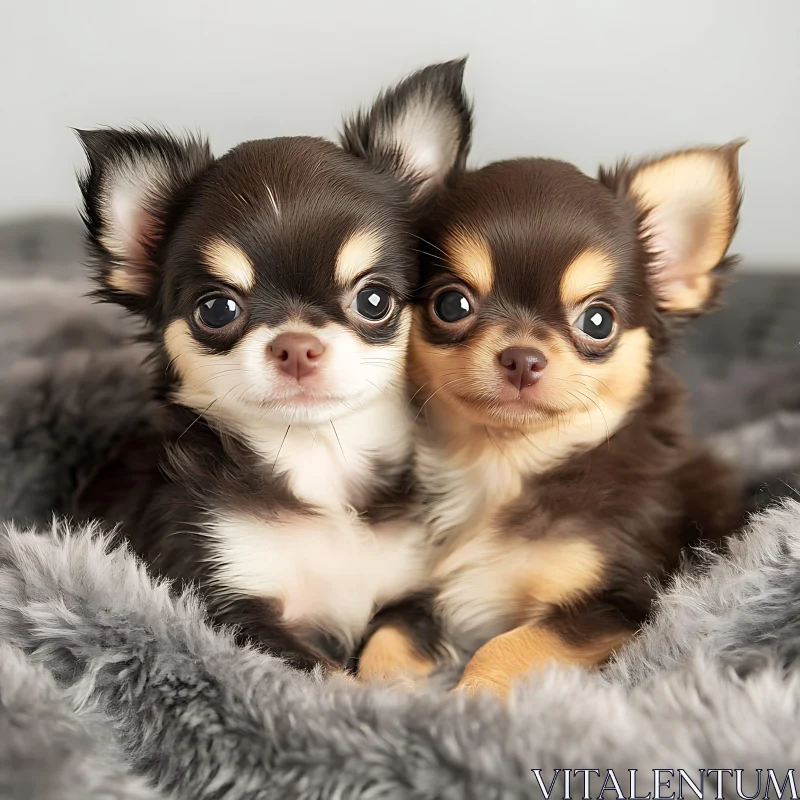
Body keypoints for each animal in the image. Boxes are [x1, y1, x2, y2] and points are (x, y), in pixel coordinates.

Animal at [72, 62, 472, 672]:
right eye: (216, 309)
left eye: (374, 300)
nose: (297, 346)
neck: (321, 462)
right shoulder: (226, 602)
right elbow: (323, 674)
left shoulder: (414, 593)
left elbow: (390, 652)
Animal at [360, 139, 748, 692]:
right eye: (451, 305)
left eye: (598, 320)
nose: (522, 357)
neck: (501, 463)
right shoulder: (416, 589)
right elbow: (385, 642)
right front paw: (374, 692)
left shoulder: (622, 603)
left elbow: (506, 647)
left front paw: (468, 698)